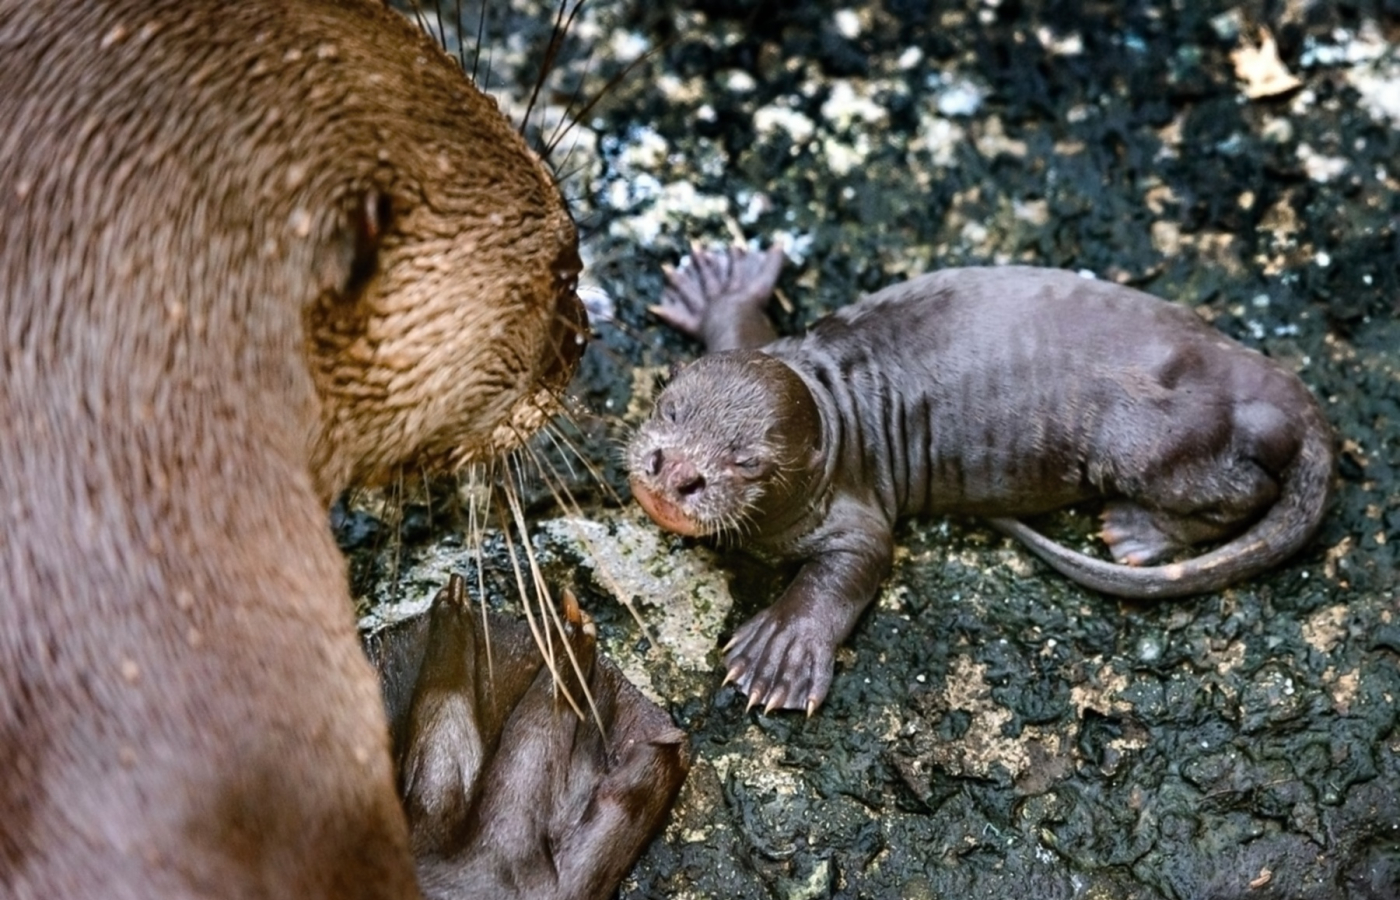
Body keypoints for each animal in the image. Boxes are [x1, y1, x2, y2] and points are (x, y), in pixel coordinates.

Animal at [627, 243, 1332, 713]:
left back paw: (1139, 531)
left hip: (1151, 437)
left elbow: (863, 557)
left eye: (747, 460)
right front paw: (719, 287)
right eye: (669, 406)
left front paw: (781, 651)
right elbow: (738, 331)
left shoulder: (848, 506)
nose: (676, 472)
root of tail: (1268, 382)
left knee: (1246, 492)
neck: (833, 409)